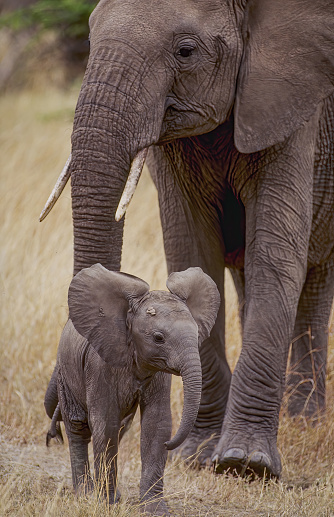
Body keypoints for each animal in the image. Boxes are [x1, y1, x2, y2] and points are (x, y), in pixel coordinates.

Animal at [41, 0, 334, 480]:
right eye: (89, 36)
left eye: (186, 51)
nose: (61, 419)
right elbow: (191, 246)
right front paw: (200, 454)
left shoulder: (295, 103)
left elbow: (276, 252)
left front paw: (245, 464)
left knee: (313, 277)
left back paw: (304, 421)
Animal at [45, 264, 222, 512]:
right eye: (158, 338)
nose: (171, 445)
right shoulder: (100, 366)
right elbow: (105, 424)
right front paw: (106, 504)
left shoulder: (159, 371)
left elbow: (156, 424)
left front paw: (154, 510)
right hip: (65, 372)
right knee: (78, 426)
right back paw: (85, 494)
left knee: (121, 427)